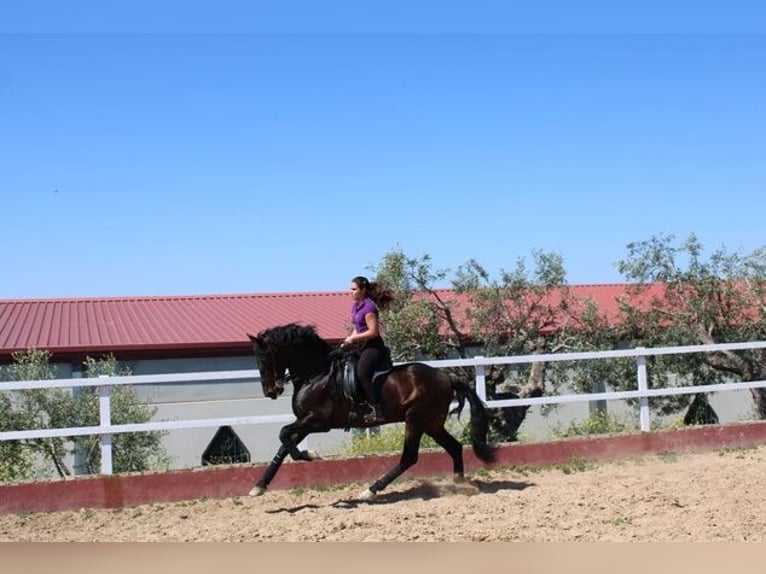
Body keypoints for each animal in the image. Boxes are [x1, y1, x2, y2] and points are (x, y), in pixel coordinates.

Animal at [246, 326, 498, 502]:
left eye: (264, 358)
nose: (271, 391)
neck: (315, 373)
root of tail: (446, 377)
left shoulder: (318, 421)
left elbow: (283, 435)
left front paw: (311, 456)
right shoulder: (305, 421)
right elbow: (283, 445)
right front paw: (259, 486)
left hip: (416, 419)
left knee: (409, 457)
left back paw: (371, 490)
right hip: (431, 423)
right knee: (454, 447)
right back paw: (460, 484)